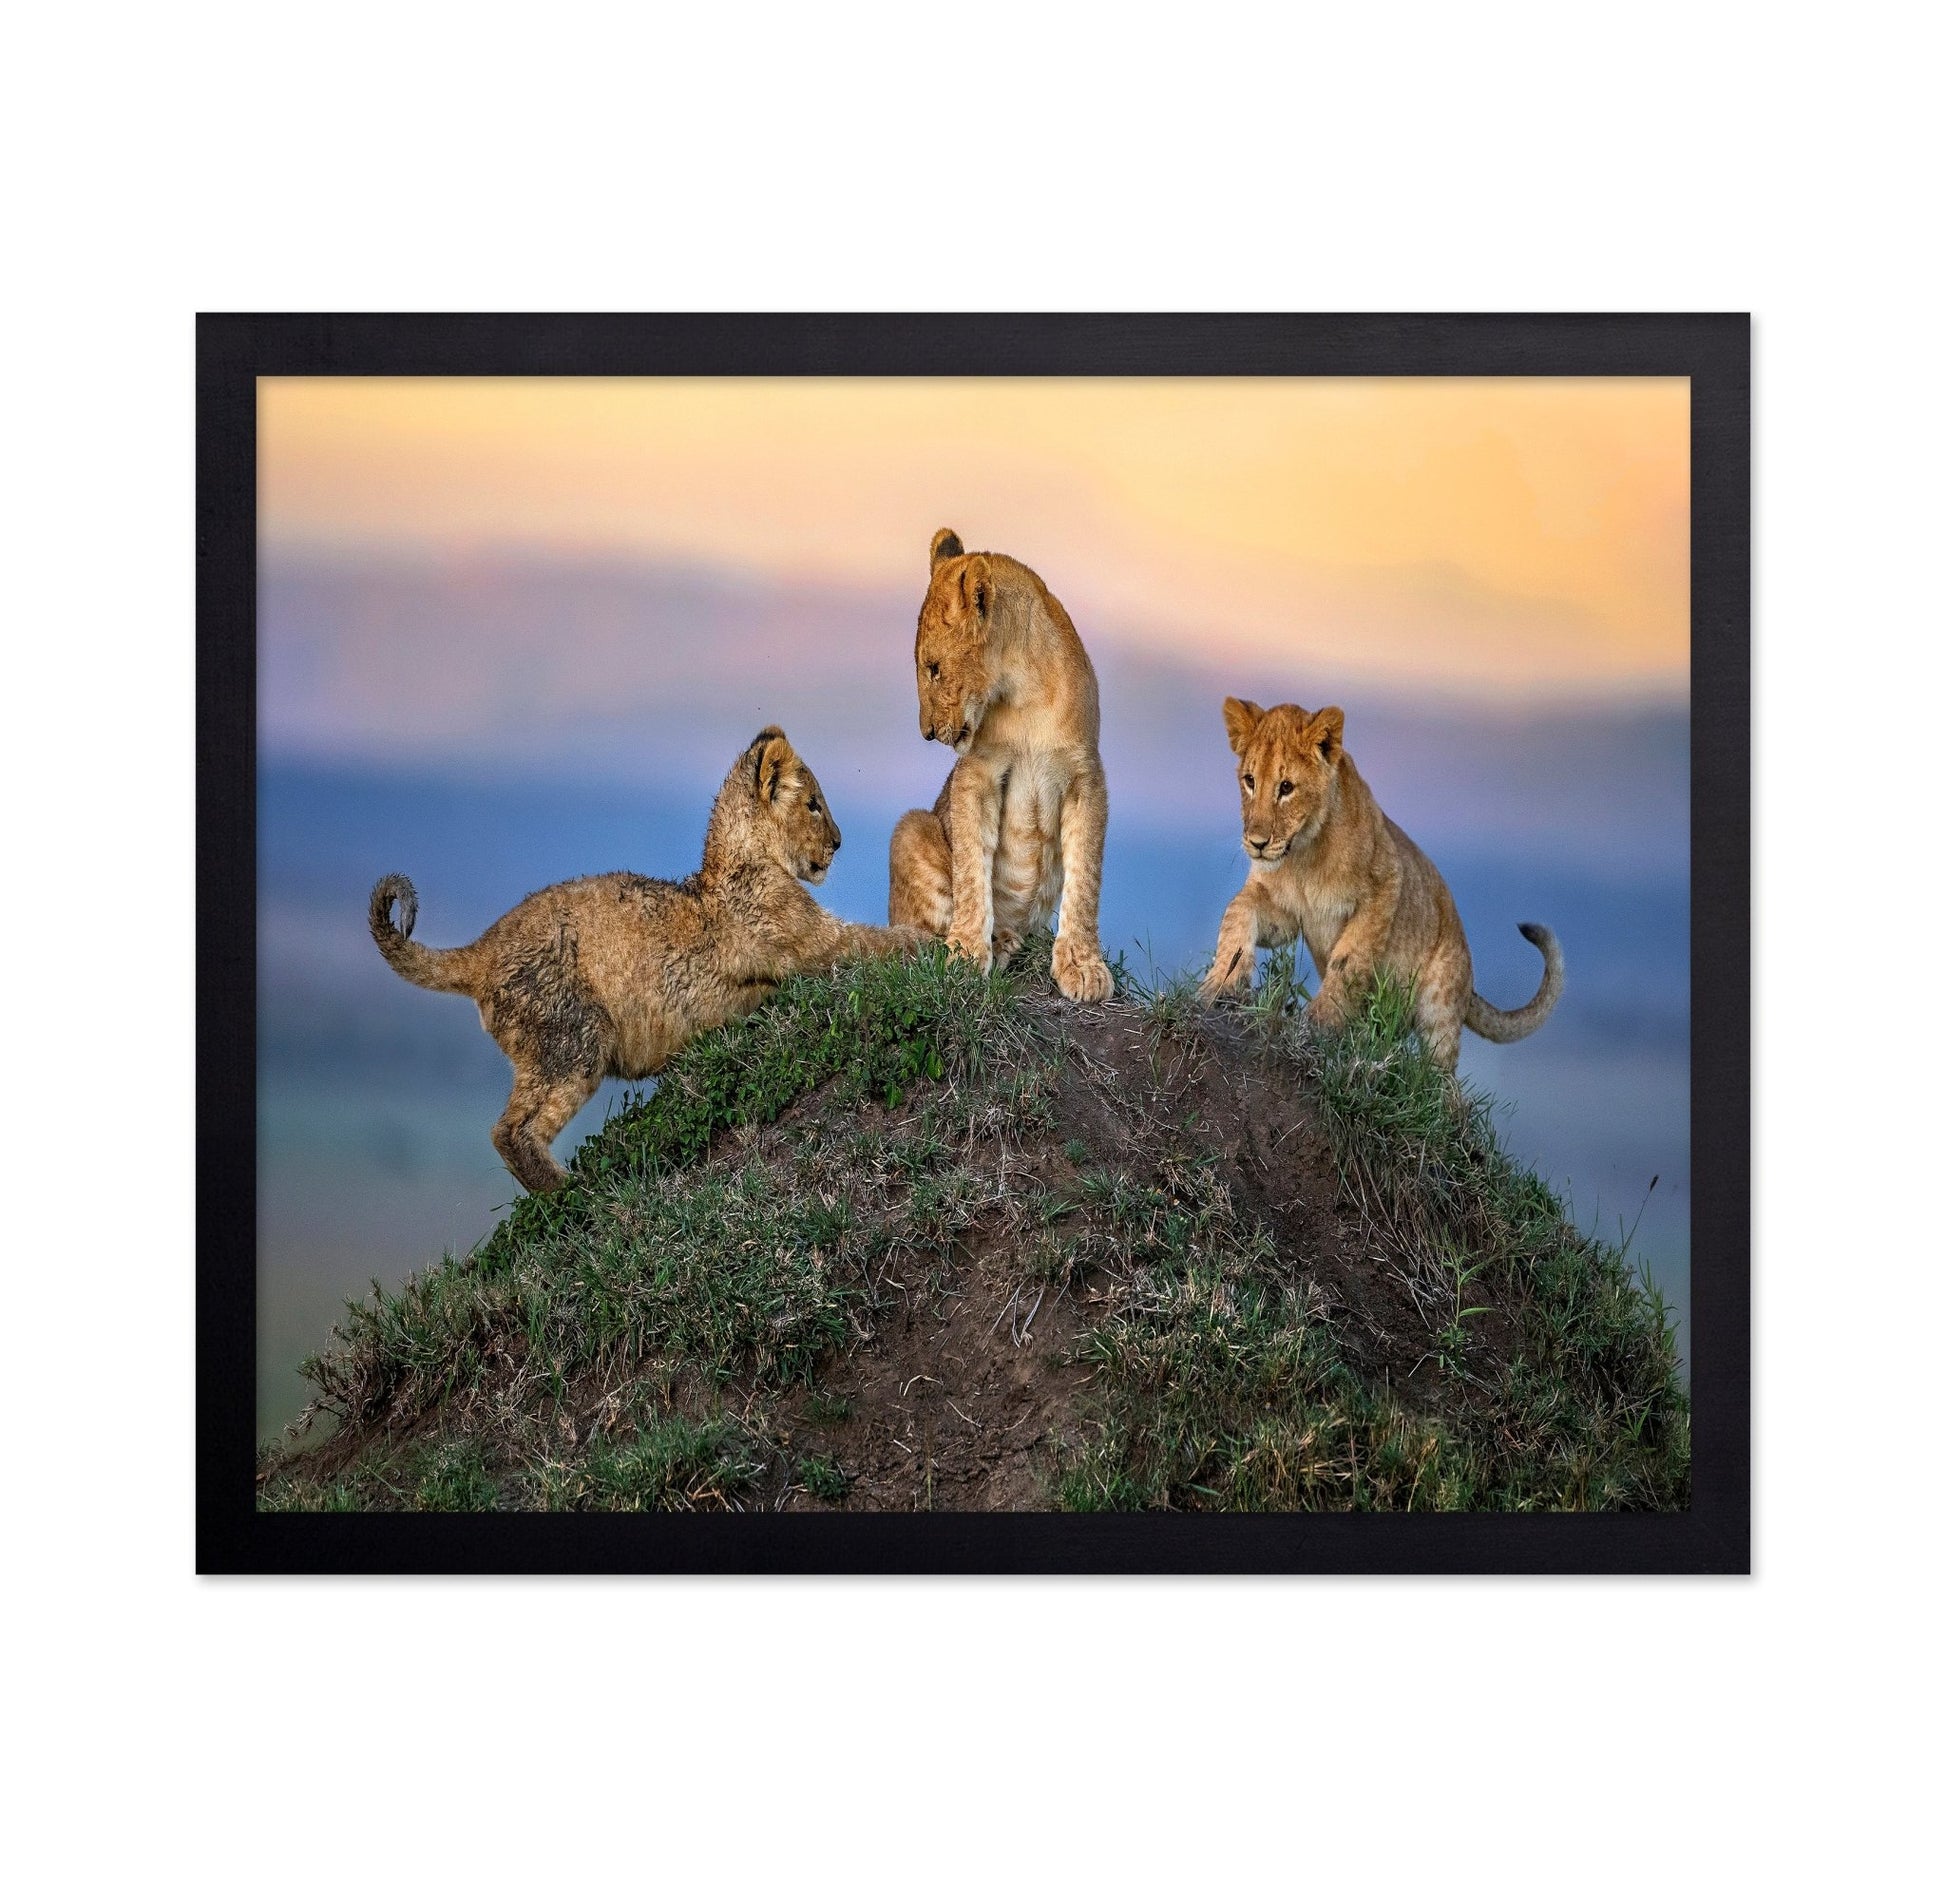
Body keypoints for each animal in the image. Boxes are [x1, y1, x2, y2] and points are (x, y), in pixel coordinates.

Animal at [370, 727, 930, 1193]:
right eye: (813, 804)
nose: (838, 841)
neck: (743, 860)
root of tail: (482, 949)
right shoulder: (816, 944)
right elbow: (878, 942)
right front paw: (932, 943)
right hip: (574, 1039)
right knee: (512, 1131)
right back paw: (573, 1195)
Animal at [887, 528, 1113, 1002]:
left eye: (933, 668)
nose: (926, 733)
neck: (1024, 691)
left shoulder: (1086, 776)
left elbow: (1085, 879)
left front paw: (1083, 967)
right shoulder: (977, 773)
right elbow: (973, 871)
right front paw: (966, 954)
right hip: (912, 827)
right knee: (914, 934)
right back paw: (997, 940)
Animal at [1197, 697, 1564, 1073]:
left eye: (1286, 787)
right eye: (1250, 781)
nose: (1257, 843)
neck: (1303, 855)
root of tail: (1470, 981)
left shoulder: (1385, 885)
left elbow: (1349, 959)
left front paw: (1319, 1023)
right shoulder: (1285, 914)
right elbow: (1237, 910)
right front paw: (1219, 984)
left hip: (1440, 1006)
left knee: (1442, 1078)